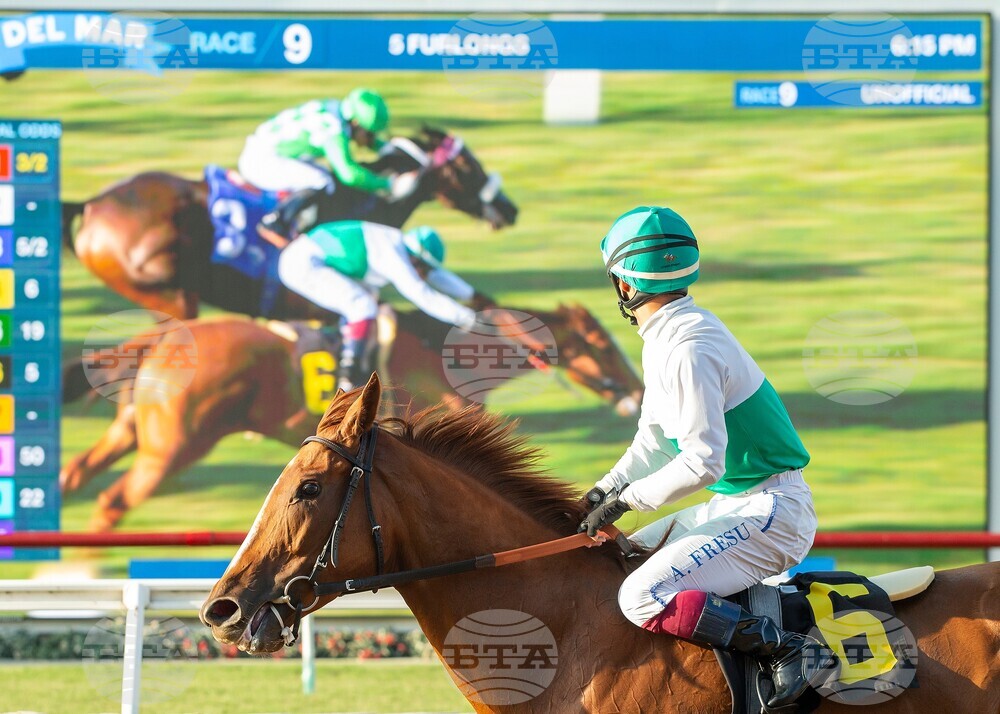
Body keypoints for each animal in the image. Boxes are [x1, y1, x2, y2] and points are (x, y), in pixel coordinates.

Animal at [61, 305, 643, 531]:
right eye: (603, 346)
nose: (636, 392)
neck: (446, 355)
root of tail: (165, 337)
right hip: (174, 447)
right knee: (114, 500)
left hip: (135, 430)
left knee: (76, 473)